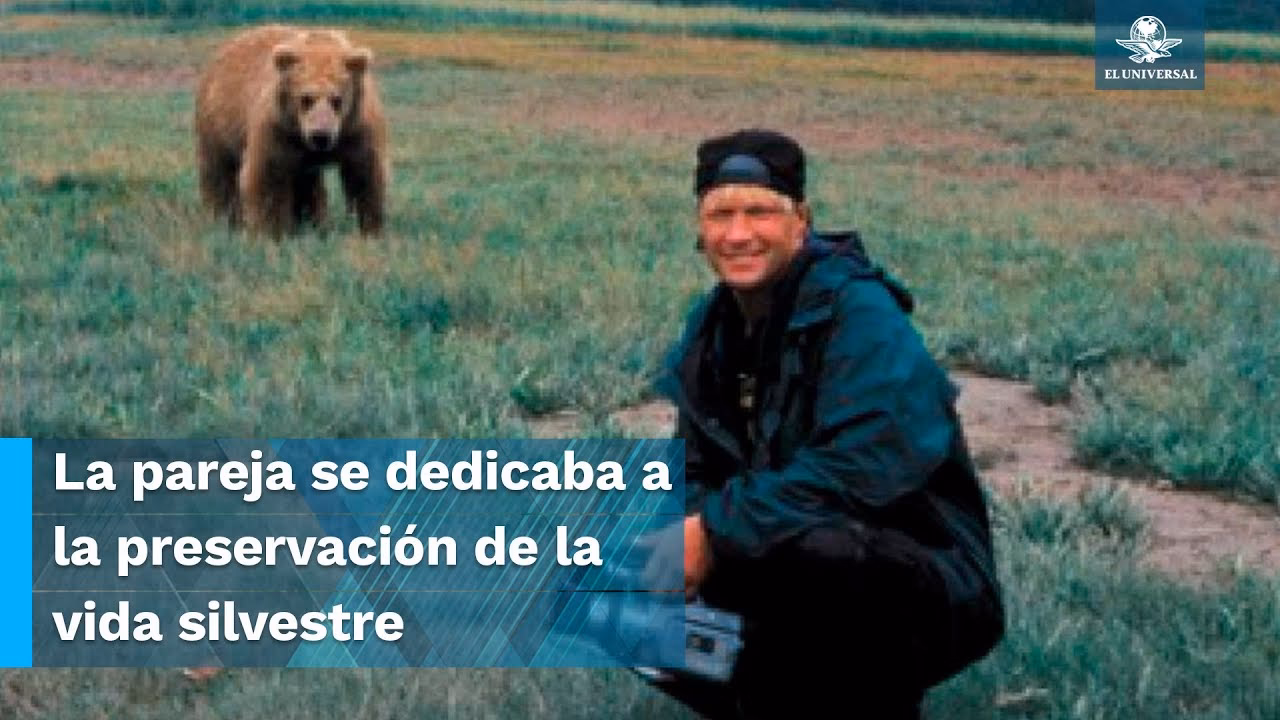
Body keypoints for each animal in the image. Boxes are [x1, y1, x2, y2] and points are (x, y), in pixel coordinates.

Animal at [194, 24, 389, 237]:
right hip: (218, 124)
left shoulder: (357, 129)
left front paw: (370, 229)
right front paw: (271, 231)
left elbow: (365, 176)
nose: (321, 135)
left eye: (337, 100)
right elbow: (269, 177)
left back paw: (312, 223)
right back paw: (223, 219)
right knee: (219, 172)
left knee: (307, 185)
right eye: (306, 98)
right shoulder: (278, 129)